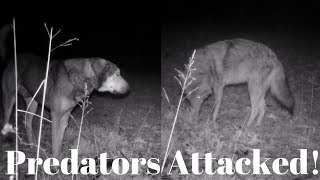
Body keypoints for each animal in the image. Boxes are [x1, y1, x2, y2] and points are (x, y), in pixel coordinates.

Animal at [0, 24, 130, 159]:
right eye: (117, 74)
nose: (129, 88)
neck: (80, 78)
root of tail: (10, 59)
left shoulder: (65, 117)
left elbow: (59, 142)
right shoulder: (55, 116)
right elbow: (55, 143)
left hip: (33, 102)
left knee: (27, 122)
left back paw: (33, 147)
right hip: (9, 99)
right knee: (5, 120)